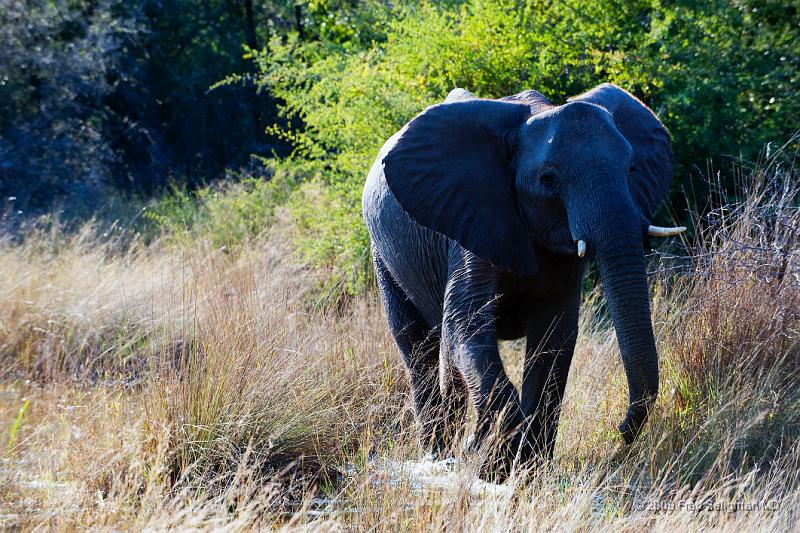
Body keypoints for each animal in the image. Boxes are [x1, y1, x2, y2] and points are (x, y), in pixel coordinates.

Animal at [360, 82, 680, 474]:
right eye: (548, 180)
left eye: (631, 167)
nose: (620, 431)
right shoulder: (473, 221)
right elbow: (465, 326)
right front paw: (490, 459)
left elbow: (555, 337)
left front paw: (525, 470)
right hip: (382, 253)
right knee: (419, 351)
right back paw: (437, 457)